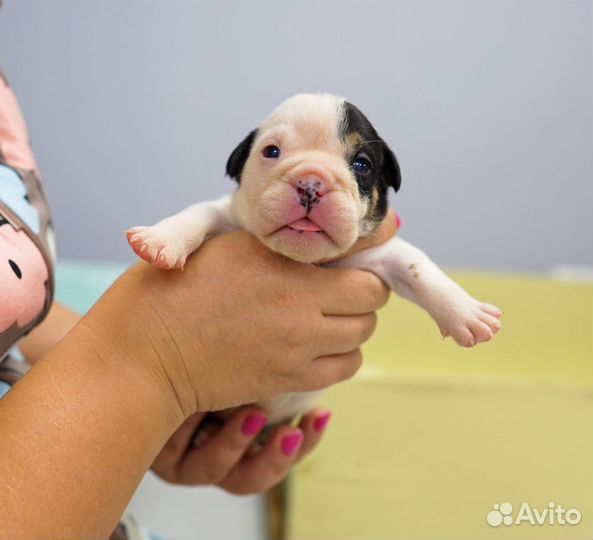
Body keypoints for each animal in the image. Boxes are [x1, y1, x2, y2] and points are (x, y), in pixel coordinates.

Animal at [127, 92, 502, 422]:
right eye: (272, 151)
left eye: (361, 164)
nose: (311, 182)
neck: (306, 259)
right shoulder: (227, 214)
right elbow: (200, 211)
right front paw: (161, 239)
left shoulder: (380, 253)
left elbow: (416, 265)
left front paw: (467, 313)